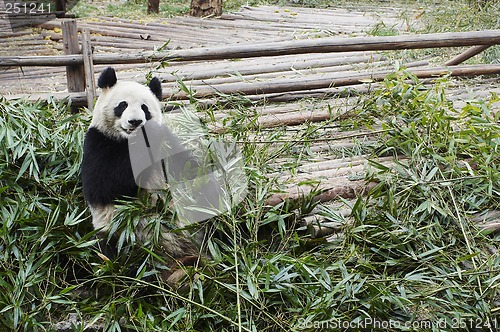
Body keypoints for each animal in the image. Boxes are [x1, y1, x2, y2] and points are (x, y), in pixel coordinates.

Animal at [82, 66, 203, 272]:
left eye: (144, 108)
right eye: (122, 105)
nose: (135, 122)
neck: (129, 140)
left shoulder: (167, 144)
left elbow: (187, 167)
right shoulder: (98, 144)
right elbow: (106, 185)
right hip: (123, 234)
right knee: (123, 259)